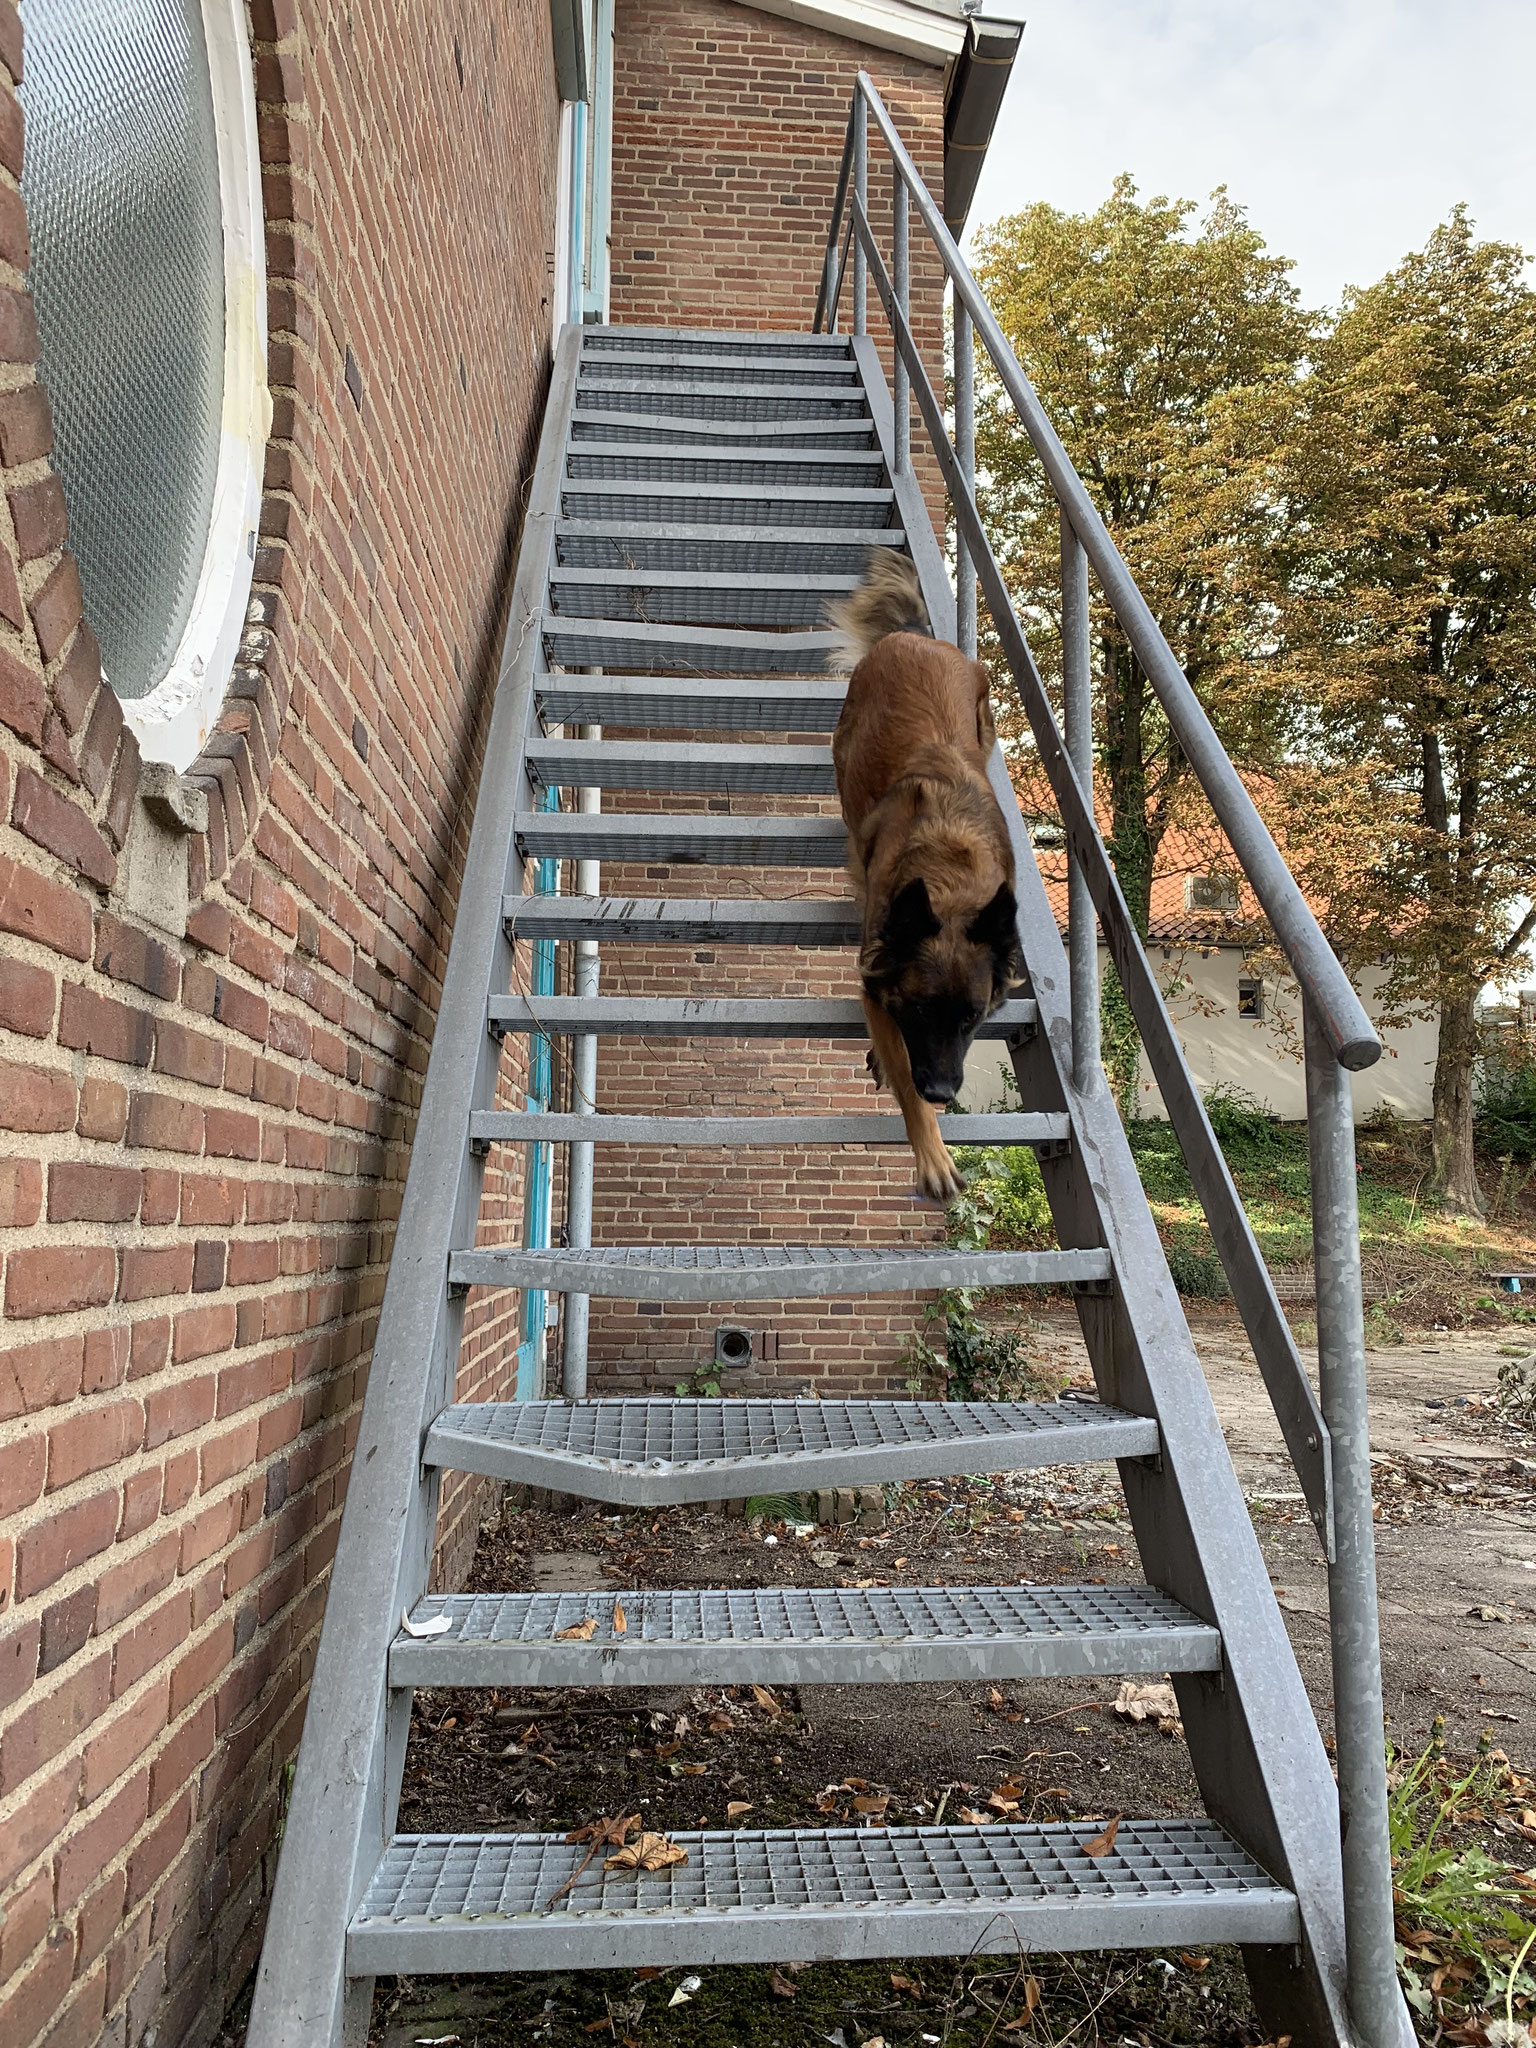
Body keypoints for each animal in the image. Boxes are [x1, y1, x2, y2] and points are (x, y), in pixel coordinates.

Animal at [831, 552, 1024, 1204]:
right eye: (919, 1011)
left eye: (971, 1019)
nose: (943, 1092)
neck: (950, 874)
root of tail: (914, 638)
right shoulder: (877, 980)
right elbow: (904, 1077)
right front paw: (932, 1155)